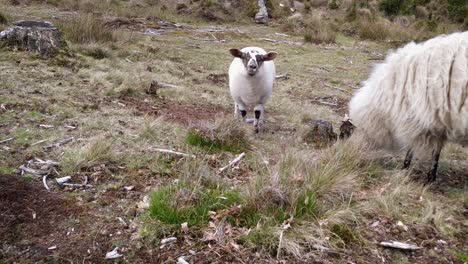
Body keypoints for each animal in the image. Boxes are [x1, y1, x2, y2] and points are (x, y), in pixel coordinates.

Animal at [348, 31, 468, 183]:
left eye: (350, 130)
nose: (350, 152)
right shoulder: (438, 122)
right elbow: (436, 152)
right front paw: (431, 176)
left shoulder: (418, 119)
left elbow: (412, 148)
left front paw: (406, 169)